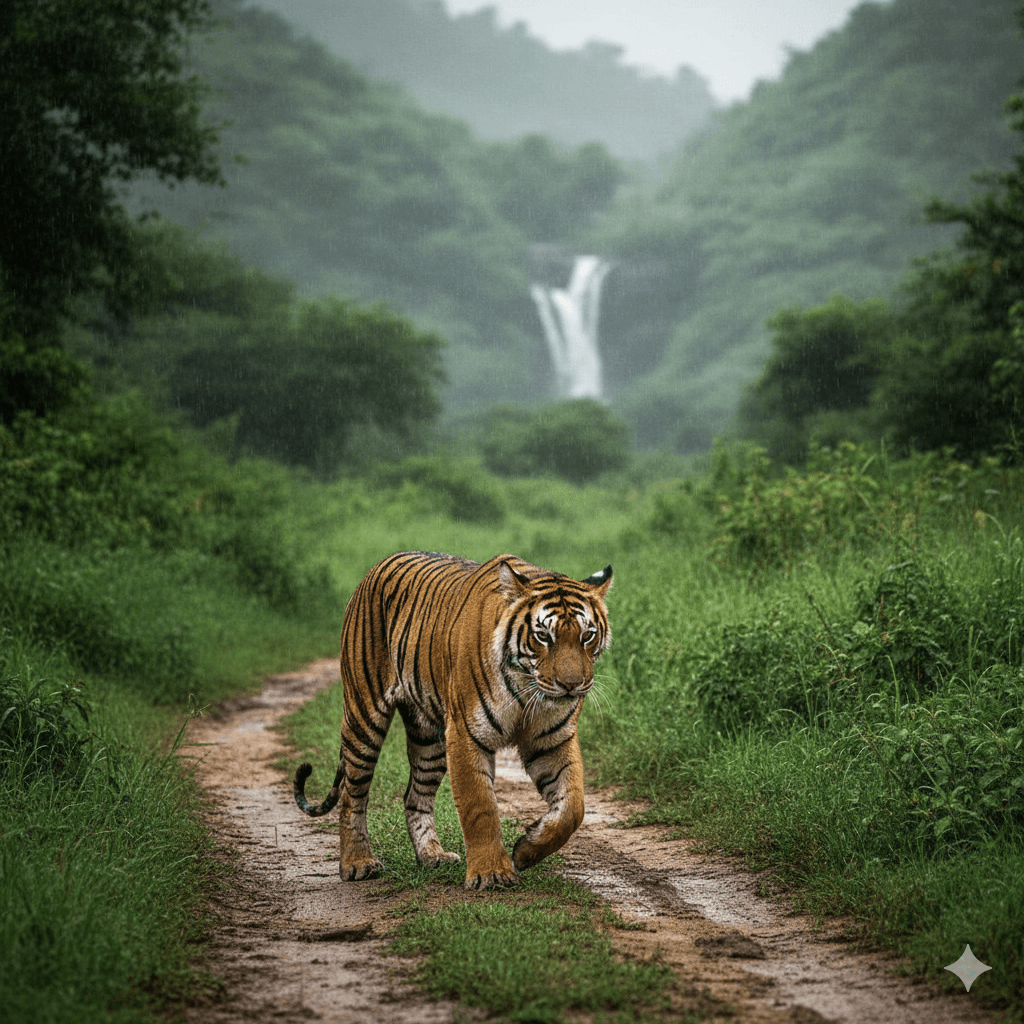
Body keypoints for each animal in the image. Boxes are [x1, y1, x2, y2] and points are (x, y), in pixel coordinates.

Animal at [293, 550, 612, 890]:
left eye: (587, 636)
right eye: (543, 636)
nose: (572, 685)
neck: (527, 687)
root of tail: (375, 568)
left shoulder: (552, 739)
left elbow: (573, 807)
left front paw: (526, 851)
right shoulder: (466, 733)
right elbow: (480, 806)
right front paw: (491, 873)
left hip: (428, 738)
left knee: (414, 796)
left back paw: (432, 855)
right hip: (364, 716)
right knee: (352, 795)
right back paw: (357, 863)